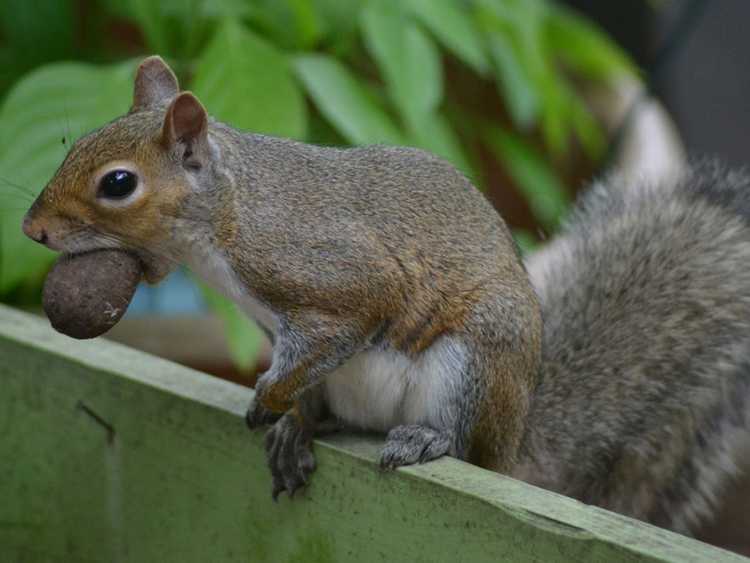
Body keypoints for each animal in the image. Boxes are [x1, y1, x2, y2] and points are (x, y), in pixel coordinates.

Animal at [20, 57, 750, 536]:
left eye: (118, 183)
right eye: (76, 146)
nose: (32, 229)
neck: (227, 215)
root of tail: (514, 447)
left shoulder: (340, 279)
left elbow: (341, 328)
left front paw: (269, 399)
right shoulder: (275, 326)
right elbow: (302, 366)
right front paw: (285, 412)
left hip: (471, 360)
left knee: (458, 436)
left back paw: (425, 438)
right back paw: (303, 431)